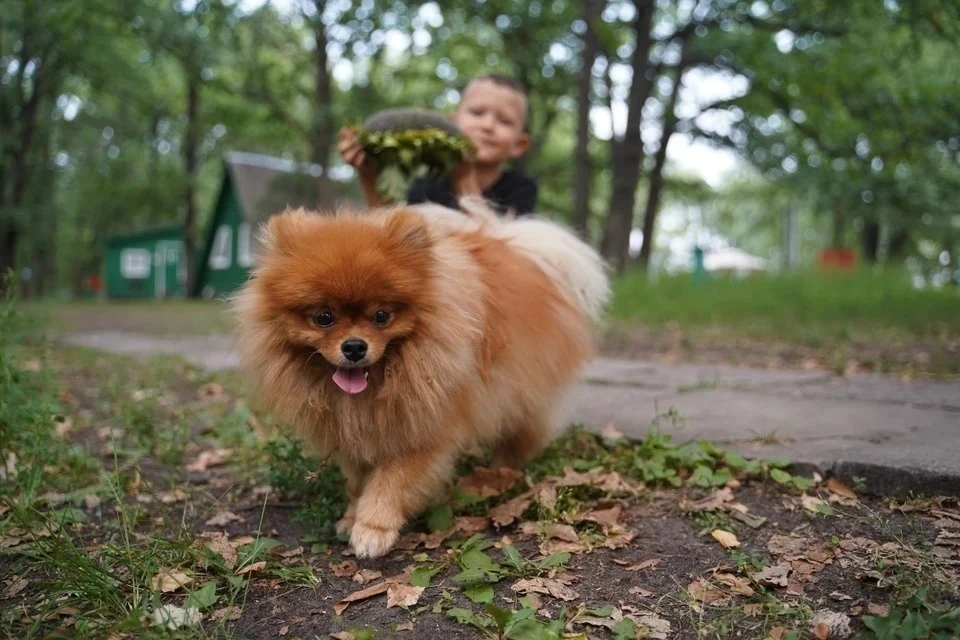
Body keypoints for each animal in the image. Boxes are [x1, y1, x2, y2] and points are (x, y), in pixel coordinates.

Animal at [232, 199, 608, 556]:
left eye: (381, 316)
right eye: (324, 317)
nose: (354, 346)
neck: (380, 383)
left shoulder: (425, 431)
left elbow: (391, 481)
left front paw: (373, 529)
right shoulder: (352, 434)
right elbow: (357, 482)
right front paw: (352, 516)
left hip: (517, 390)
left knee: (516, 439)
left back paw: (496, 475)